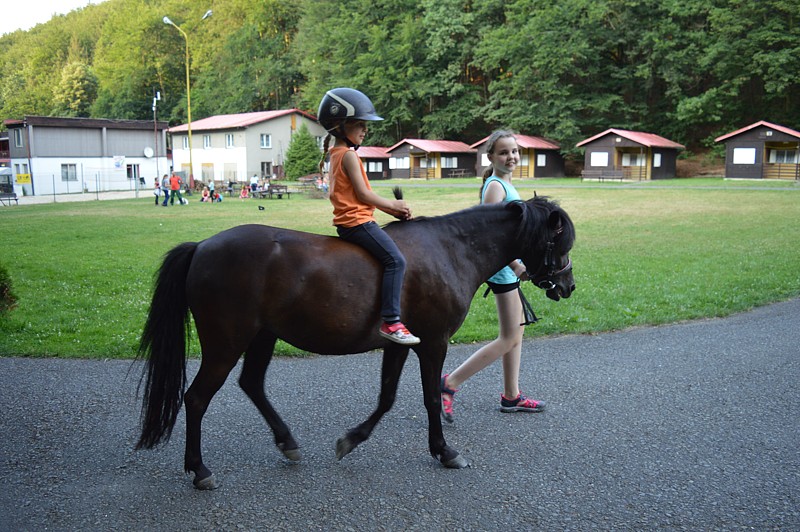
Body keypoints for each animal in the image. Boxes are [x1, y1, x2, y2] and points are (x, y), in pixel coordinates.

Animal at [138, 194, 576, 486]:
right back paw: (199, 469)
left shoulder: (400, 344)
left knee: (252, 384)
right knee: (196, 398)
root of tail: (202, 247)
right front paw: (444, 451)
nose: (568, 285)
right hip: (226, 343)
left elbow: (386, 398)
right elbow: (431, 398)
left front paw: (351, 440)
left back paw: (287, 442)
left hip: (262, 336)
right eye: (561, 242)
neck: (451, 249)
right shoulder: (433, 343)